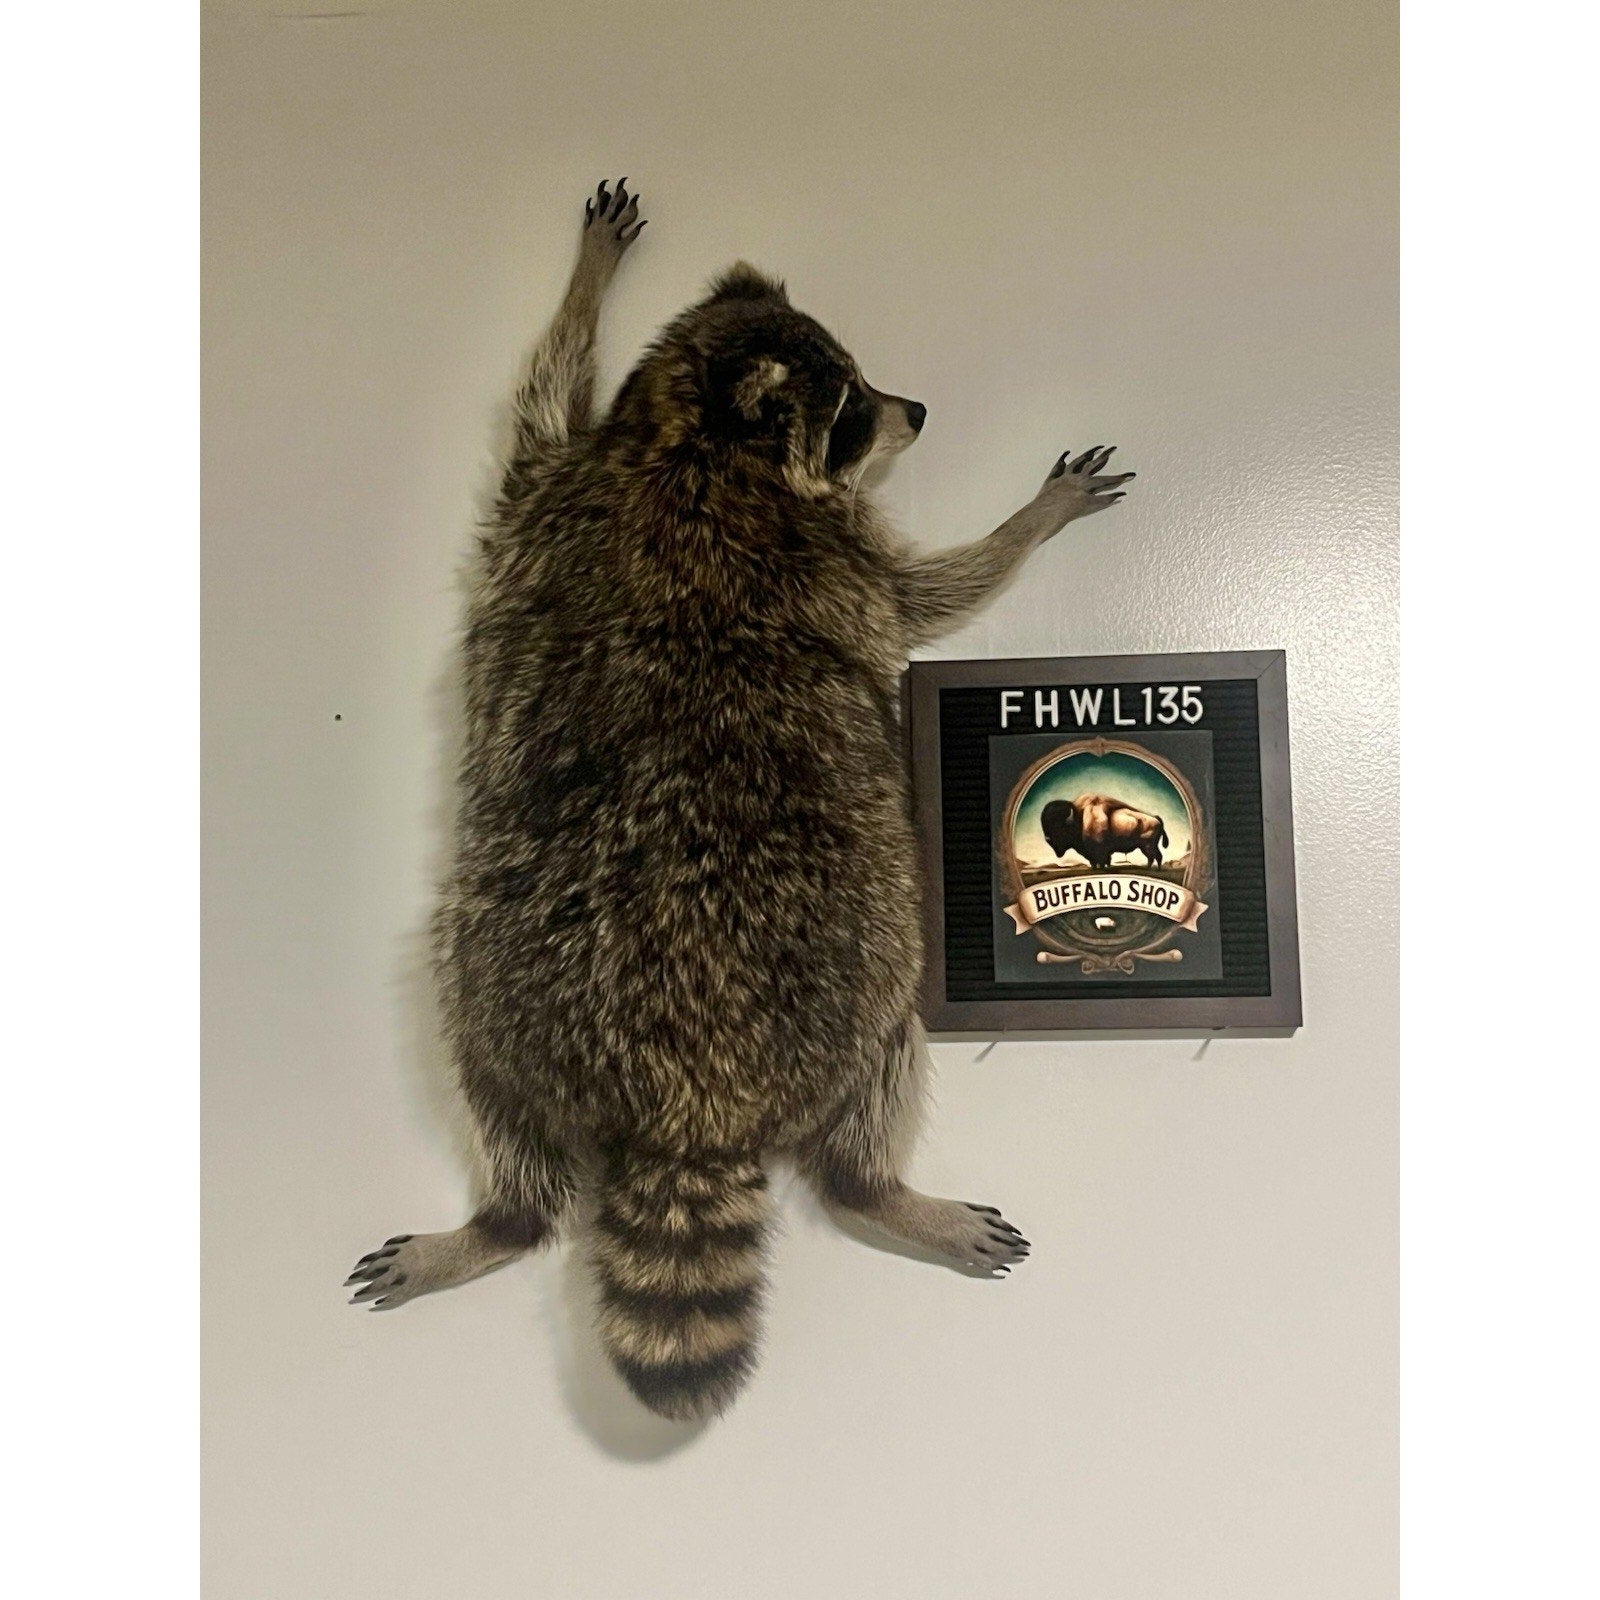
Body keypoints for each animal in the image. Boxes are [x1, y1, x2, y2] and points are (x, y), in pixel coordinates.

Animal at [346, 180, 1135, 1421]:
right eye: (852, 409)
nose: (918, 409)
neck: (695, 434)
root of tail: (686, 1115)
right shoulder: (829, 549)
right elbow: (927, 595)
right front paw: (1027, 518)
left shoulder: (551, 485)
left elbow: (545, 389)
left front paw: (590, 280)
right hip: (863, 982)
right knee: (880, 1063)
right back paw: (877, 1189)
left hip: (496, 1005)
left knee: (494, 1085)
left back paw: (497, 1217)